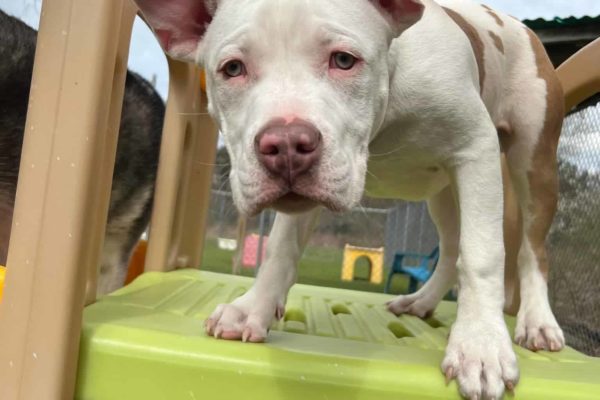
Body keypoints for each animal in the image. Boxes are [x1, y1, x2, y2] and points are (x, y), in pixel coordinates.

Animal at [134, 1, 564, 398]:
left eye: (344, 60)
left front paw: (480, 346)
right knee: (452, 244)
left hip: (532, 164)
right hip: (442, 195)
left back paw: (537, 322)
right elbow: (280, 249)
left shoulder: (475, 148)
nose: (286, 145)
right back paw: (421, 302)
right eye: (233, 69)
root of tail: (518, 25)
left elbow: (483, 256)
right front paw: (253, 308)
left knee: (531, 250)